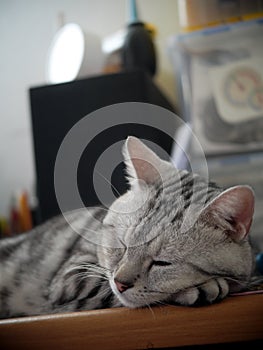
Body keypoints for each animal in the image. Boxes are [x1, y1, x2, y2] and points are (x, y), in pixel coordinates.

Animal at [0, 135, 256, 318]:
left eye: (163, 263)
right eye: (122, 245)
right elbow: (104, 287)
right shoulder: (72, 276)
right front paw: (202, 289)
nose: (120, 283)